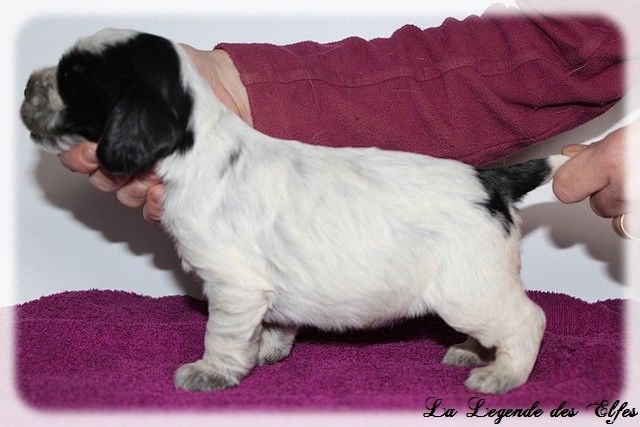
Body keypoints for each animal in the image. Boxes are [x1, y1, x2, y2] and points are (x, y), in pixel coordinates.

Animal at [21, 28, 568, 394]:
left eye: (72, 80)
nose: (26, 85)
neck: (199, 148)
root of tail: (493, 181)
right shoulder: (261, 289)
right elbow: (270, 326)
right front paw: (265, 351)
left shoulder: (233, 285)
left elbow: (221, 333)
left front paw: (212, 371)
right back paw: (471, 351)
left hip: (466, 287)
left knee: (528, 320)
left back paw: (503, 374)